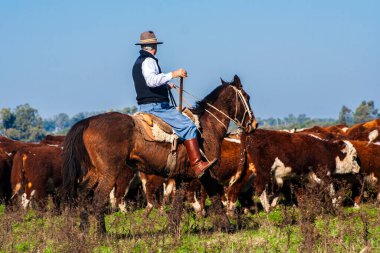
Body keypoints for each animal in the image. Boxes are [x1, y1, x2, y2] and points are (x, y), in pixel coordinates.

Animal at [62, 75, 256, 233]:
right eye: (246, 96)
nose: (253, 124)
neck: (206, 127)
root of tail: (87, 122)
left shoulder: (184, 177)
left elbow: (183, 202)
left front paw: (172, 229)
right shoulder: (202, 173)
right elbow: (211, 197)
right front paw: (228, 226)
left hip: (95, 171)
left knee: (82, 194)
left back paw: (83, 231)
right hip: (109, 172)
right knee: (98, 199)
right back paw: (102, 234)